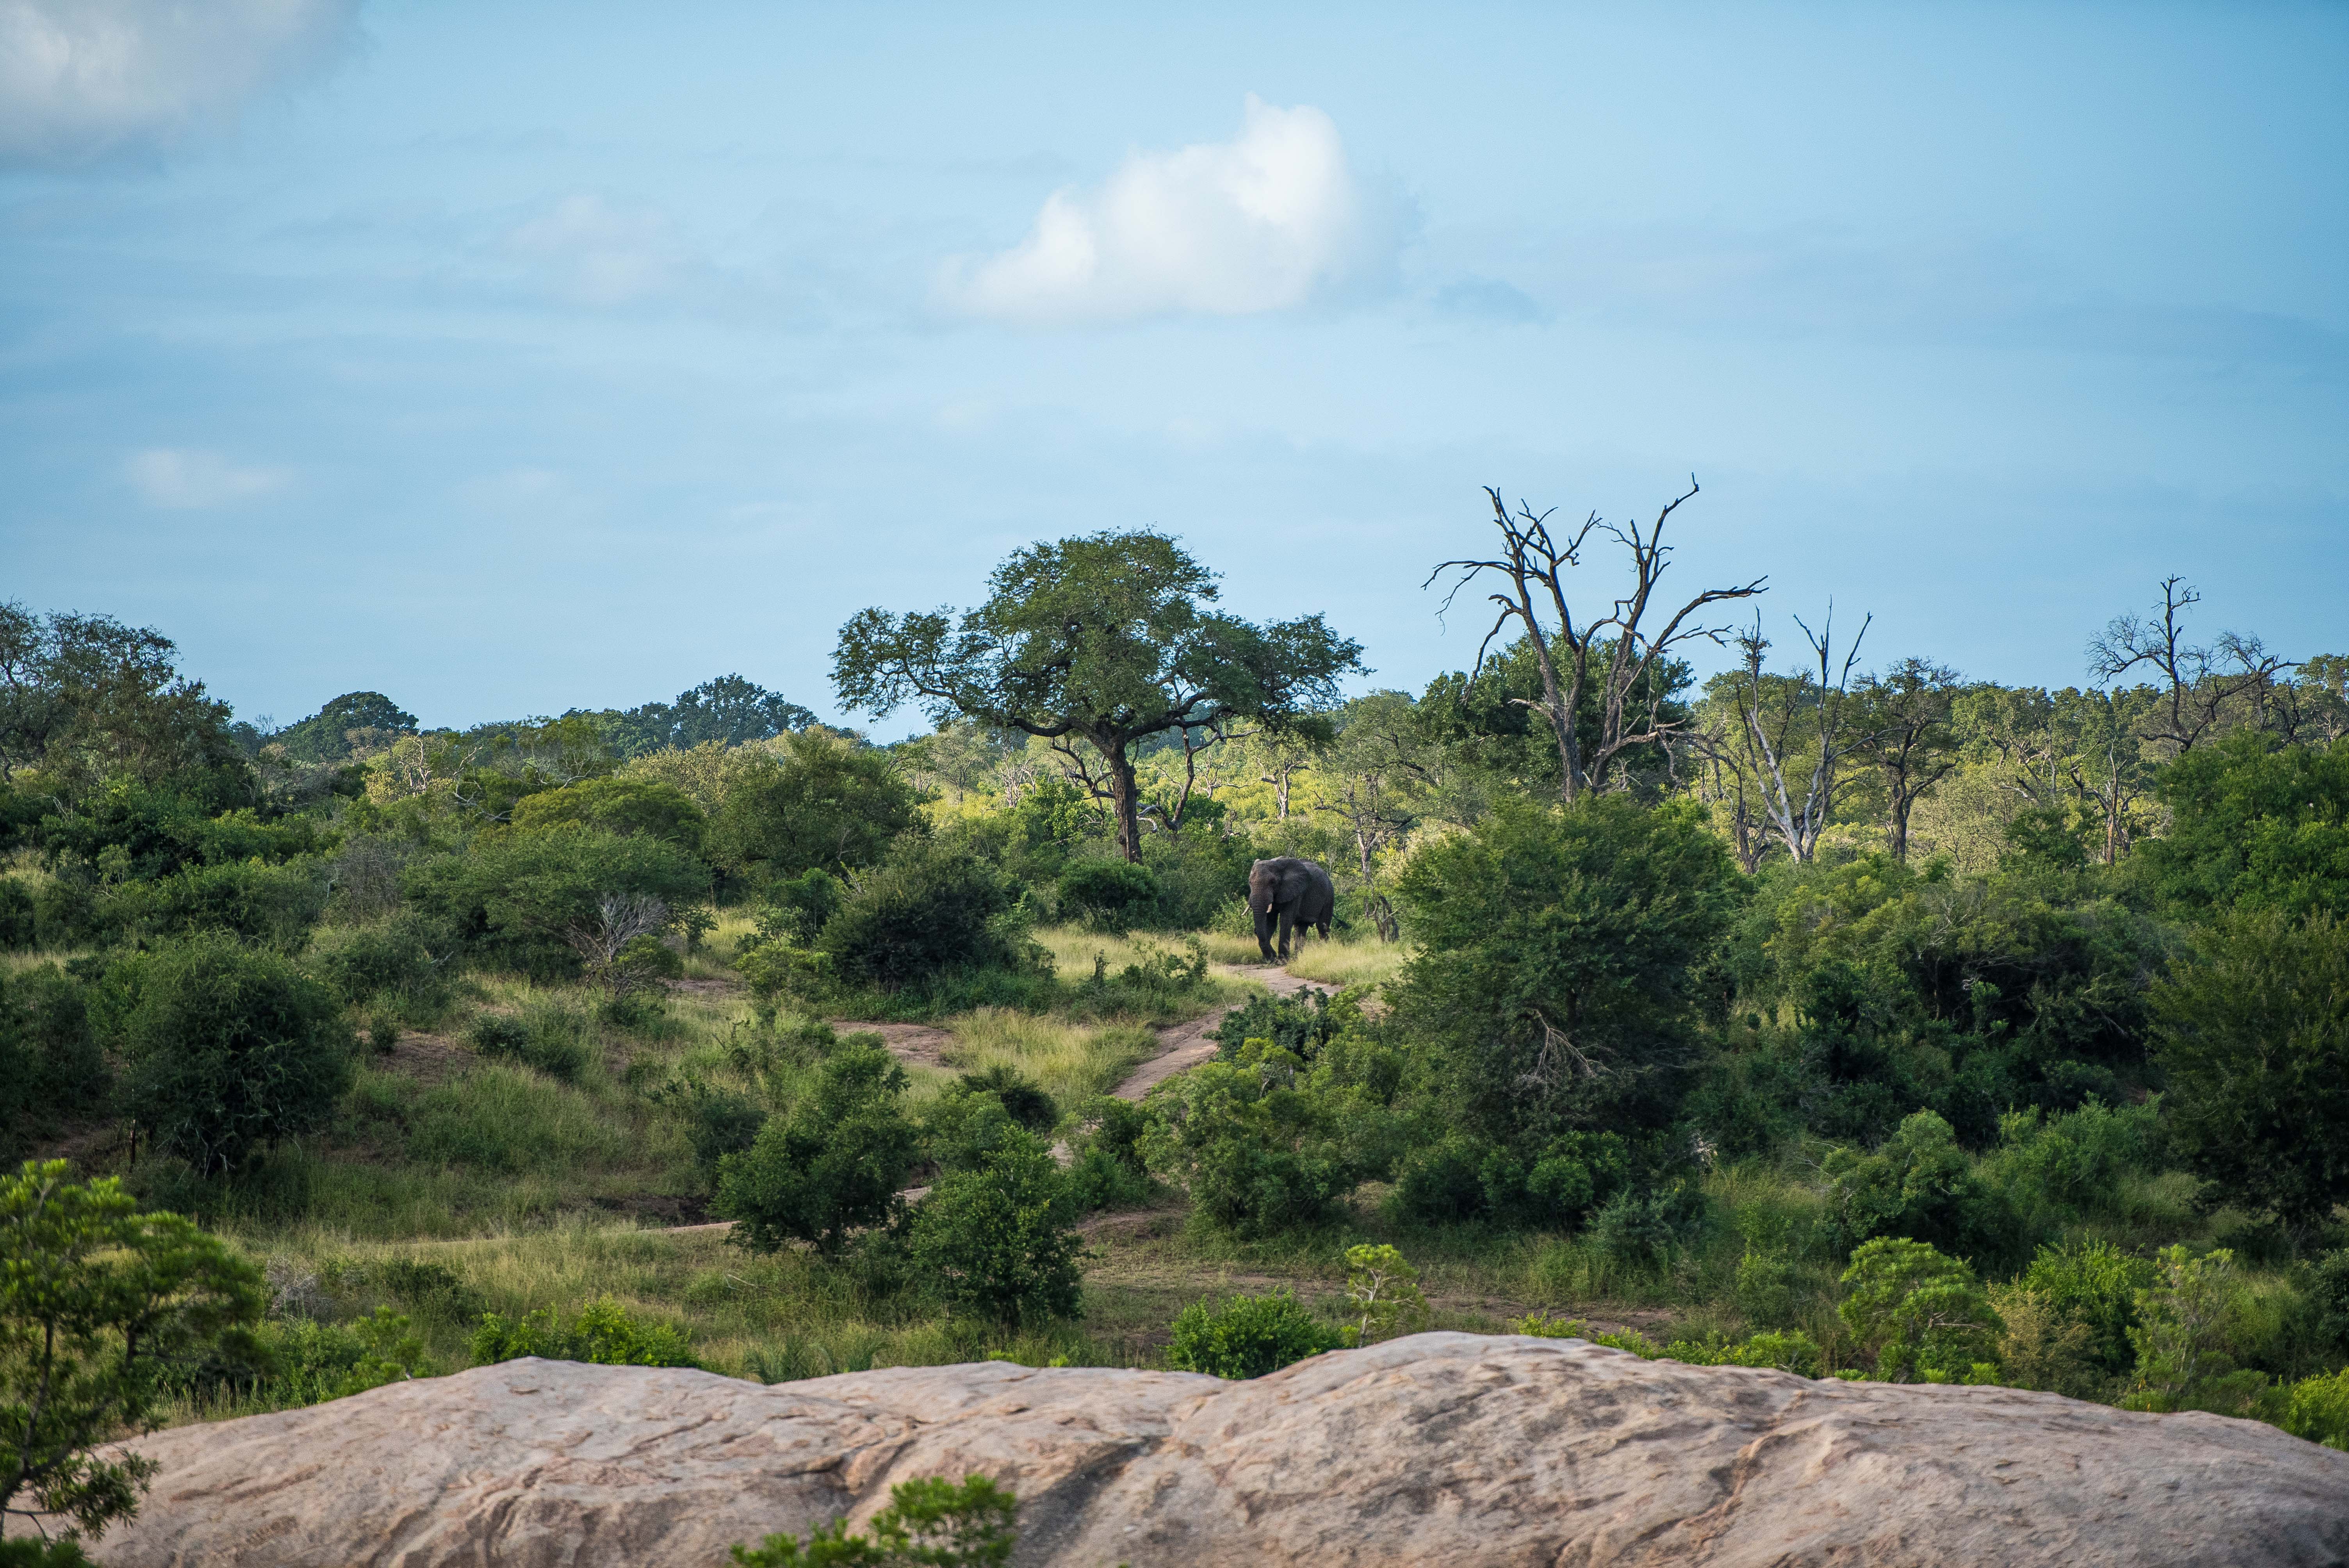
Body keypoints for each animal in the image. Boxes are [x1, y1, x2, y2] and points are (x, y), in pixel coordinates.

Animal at [1247, 857, 1335, 962]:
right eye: (1250, 883)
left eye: (1273, 882)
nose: (1274, 956)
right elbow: (1271, 923)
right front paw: (1270, 960)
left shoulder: (1295, 892)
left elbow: (1286, 921)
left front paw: (1282, 961)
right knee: (1302, 927)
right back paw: (1298, 958)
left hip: (1329, 896)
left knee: (1323, 926)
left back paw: (1324, 951)